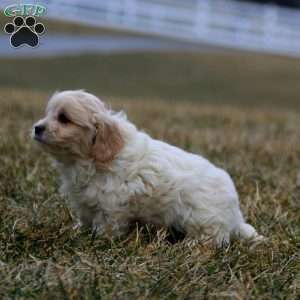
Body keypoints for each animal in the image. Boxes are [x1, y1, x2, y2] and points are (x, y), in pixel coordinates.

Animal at [31, 91, 264, 246]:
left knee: (210, 239)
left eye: (64, 118)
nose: (37, 128)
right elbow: (86, 219)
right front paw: (79, 232)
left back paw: (190, 245)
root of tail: (235, 215)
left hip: (204, 220)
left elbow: (107, 226)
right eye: (48, 113)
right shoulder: (86, 201)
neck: (94, 157)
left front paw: (99, 240)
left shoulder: (112, 205)